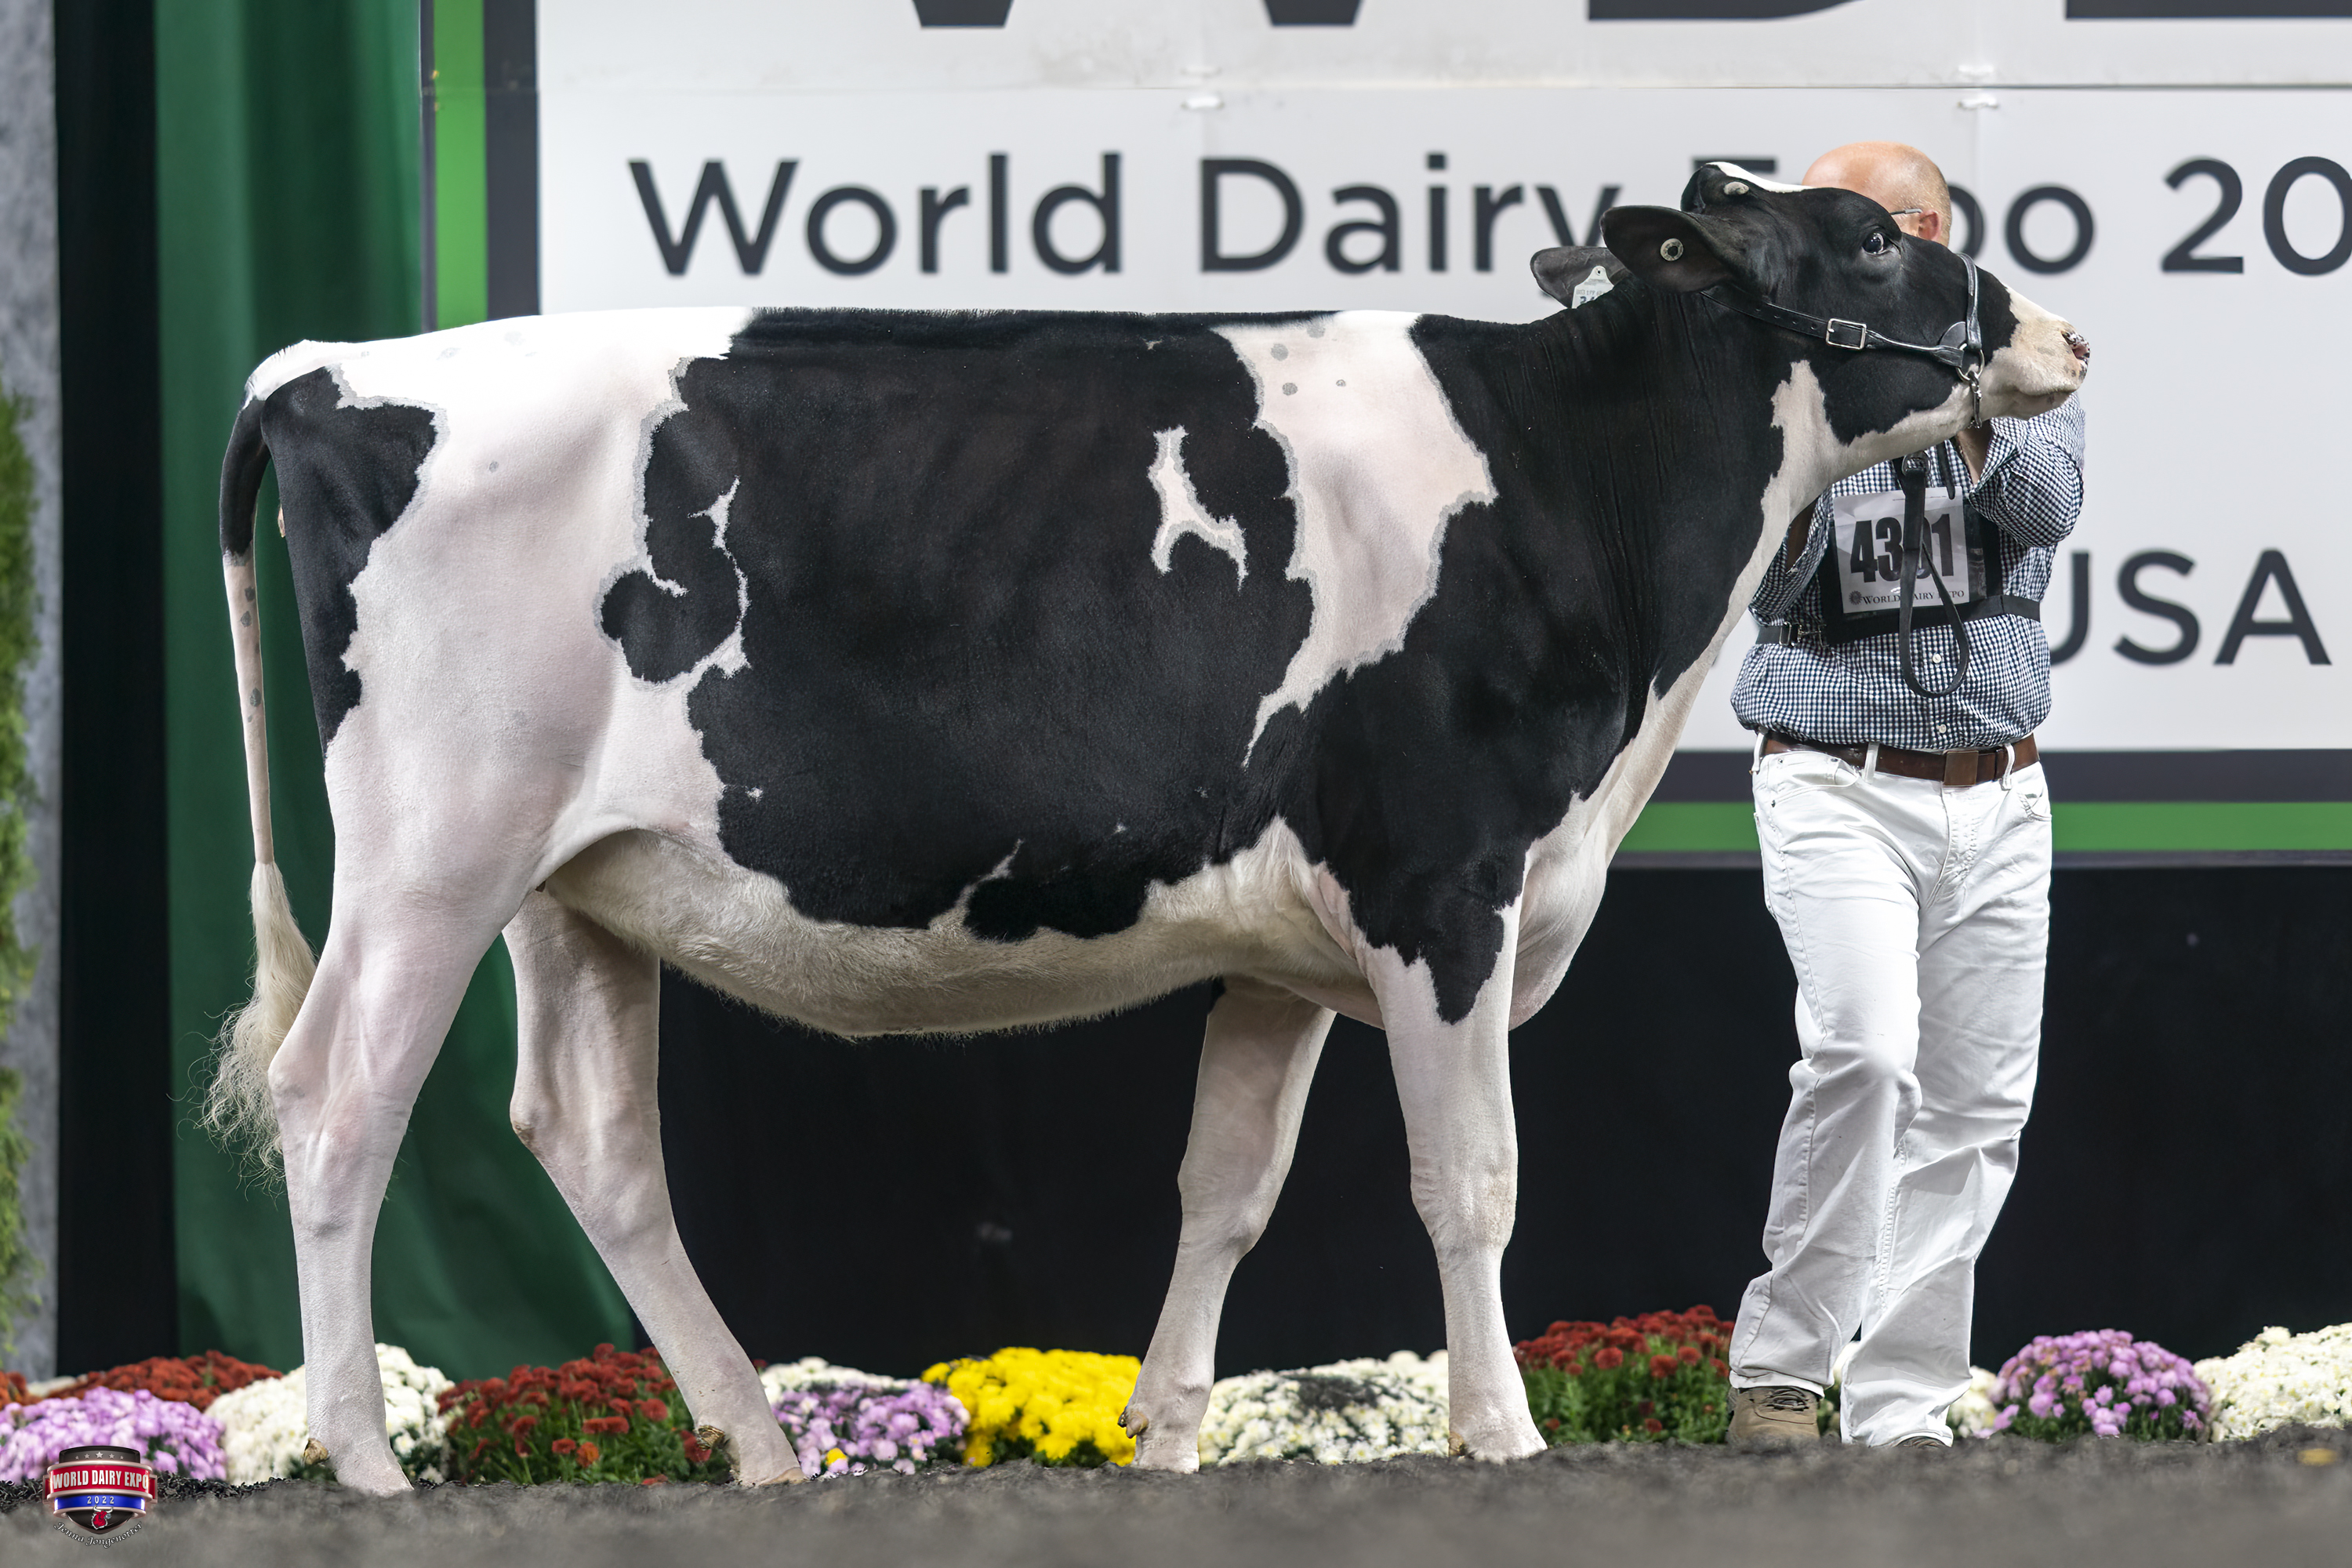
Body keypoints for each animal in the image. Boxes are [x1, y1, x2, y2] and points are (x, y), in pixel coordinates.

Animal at [208, 164, 2086, 1492]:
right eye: (1871, 243)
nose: (2060, 335)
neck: (1570, 491)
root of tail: (327, 366)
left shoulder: (1288, 937)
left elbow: (1227, 1188)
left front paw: (1170, 1434)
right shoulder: (1445, 881)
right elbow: (1471, 1180)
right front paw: (1502, 1432)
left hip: (573, 885)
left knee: (592, 1141)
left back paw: (755, 1440)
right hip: (431, 850)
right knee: (338, 1099)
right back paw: (365, 1459)